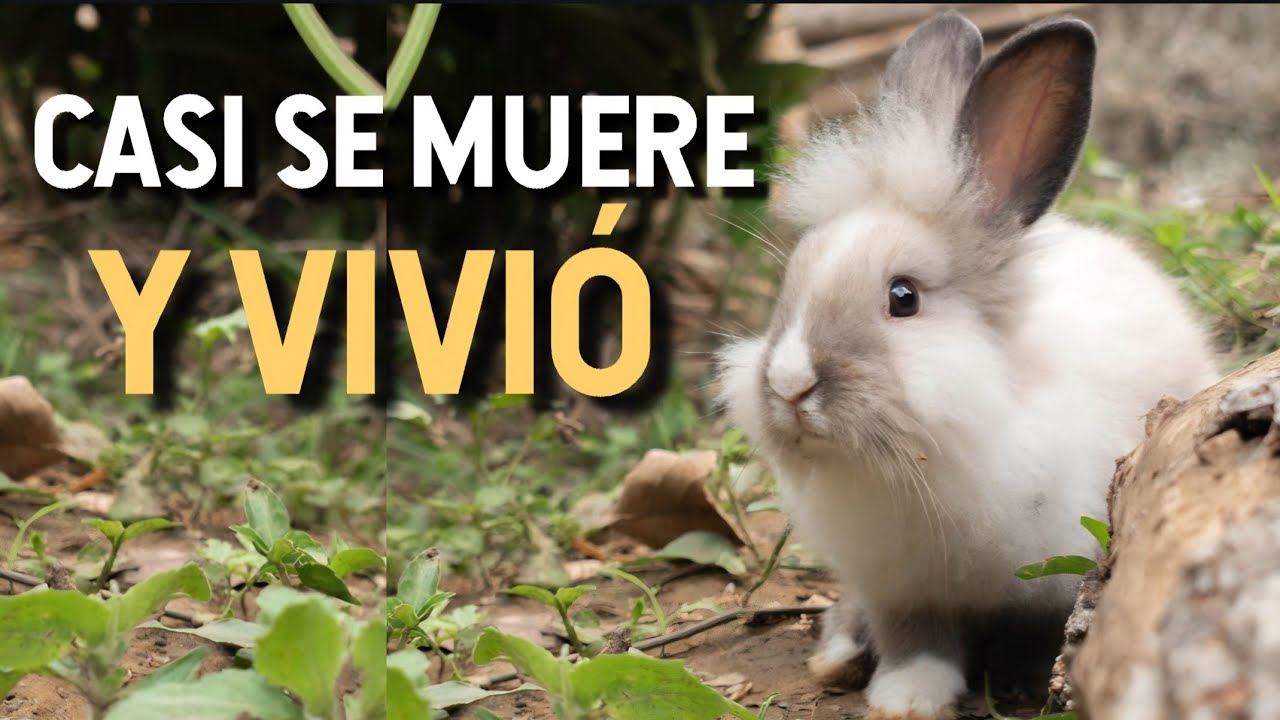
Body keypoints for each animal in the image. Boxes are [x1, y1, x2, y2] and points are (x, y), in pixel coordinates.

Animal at [716, 11, 1220, 720]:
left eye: (903, 298)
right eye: (790, 285)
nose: (790, 385)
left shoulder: (1054, 572)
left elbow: (1044, 632)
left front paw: (1030, 684)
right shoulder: (902, 589)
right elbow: (915, 641)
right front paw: (905, 696)